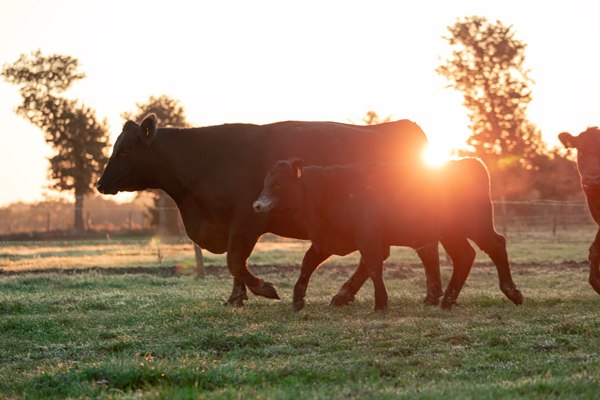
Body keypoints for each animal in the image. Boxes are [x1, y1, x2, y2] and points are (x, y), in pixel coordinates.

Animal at [96, 115, 442, 306]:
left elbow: (235, 261)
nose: (100, 183)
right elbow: (235, 264)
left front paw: (263, 289)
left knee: (405, 251)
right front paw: (236, 298)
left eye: (125, 150)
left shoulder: (248, 220)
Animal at [251, 158, 524, 310]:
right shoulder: (326, 240)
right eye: (266, 182)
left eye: (279, 183)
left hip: (474, 227)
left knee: (495, 246)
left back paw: (511, 292)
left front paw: (380, 303)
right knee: (465, 256)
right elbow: (307, 263)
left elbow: (372, 267)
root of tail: (466, 162)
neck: (328, 190)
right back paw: (447, 300)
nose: (257, 205)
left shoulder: (368, 238)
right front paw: (298, 299)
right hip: (450, 233)